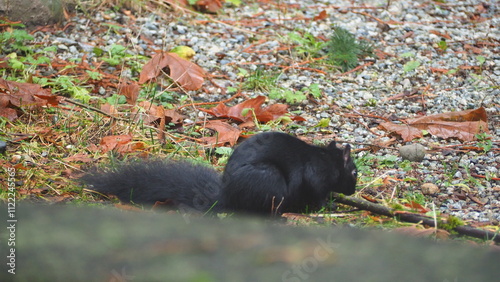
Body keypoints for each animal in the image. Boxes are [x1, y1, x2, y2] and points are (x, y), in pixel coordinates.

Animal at [82, 132, 356, 216]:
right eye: (353, 172)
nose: (353, 189)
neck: (328, 161)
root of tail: (227, 197)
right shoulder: (315, 176)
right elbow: (315, 192)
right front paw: (326, 205)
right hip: (268, 180)